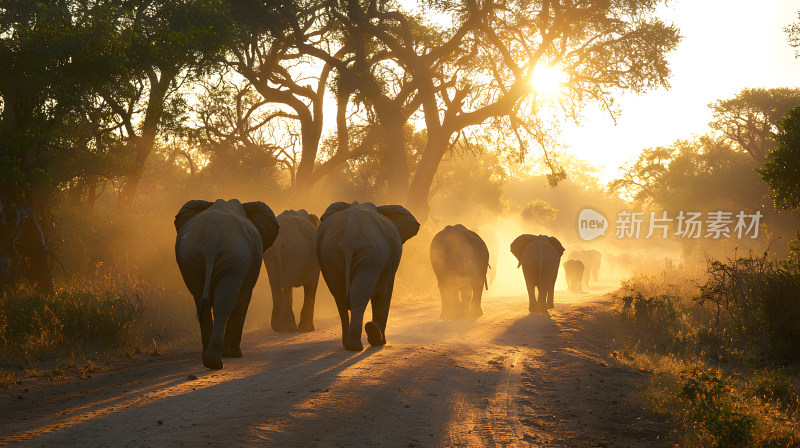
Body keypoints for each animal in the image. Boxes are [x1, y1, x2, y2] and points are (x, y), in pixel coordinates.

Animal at [173, 198, 280, 370]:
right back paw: (218, 360)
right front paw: (235, 355)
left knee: (201, 300)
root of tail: (210, 241)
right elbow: (243, 299)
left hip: (192, 260)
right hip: (233, 259)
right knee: (224, 303)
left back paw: (209, 358)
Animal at [316, 201, 422, 352]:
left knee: (339, 295)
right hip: (372, 254)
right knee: (358, 293)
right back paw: (358, 344)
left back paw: (349, 344)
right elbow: (385, 292)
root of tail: (349, 238)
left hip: (331, 254)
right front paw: (380, 341)